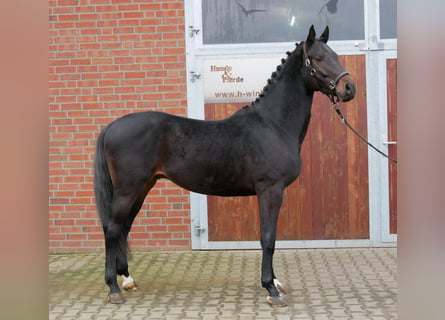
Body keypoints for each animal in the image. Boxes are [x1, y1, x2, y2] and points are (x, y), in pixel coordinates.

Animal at [93, 25, 354, 308]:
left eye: (335, 55)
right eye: (317, 58)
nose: (349, 88)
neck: (273, 124)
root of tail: (110, 127)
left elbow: (270, 236)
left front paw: (274, 283)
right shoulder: (270, 190)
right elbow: (268, 238)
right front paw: (271, 289)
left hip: (141, 189)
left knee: (123, 228)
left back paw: (127, 279)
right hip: (128, 190)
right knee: (112, 229)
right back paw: (113, 288)